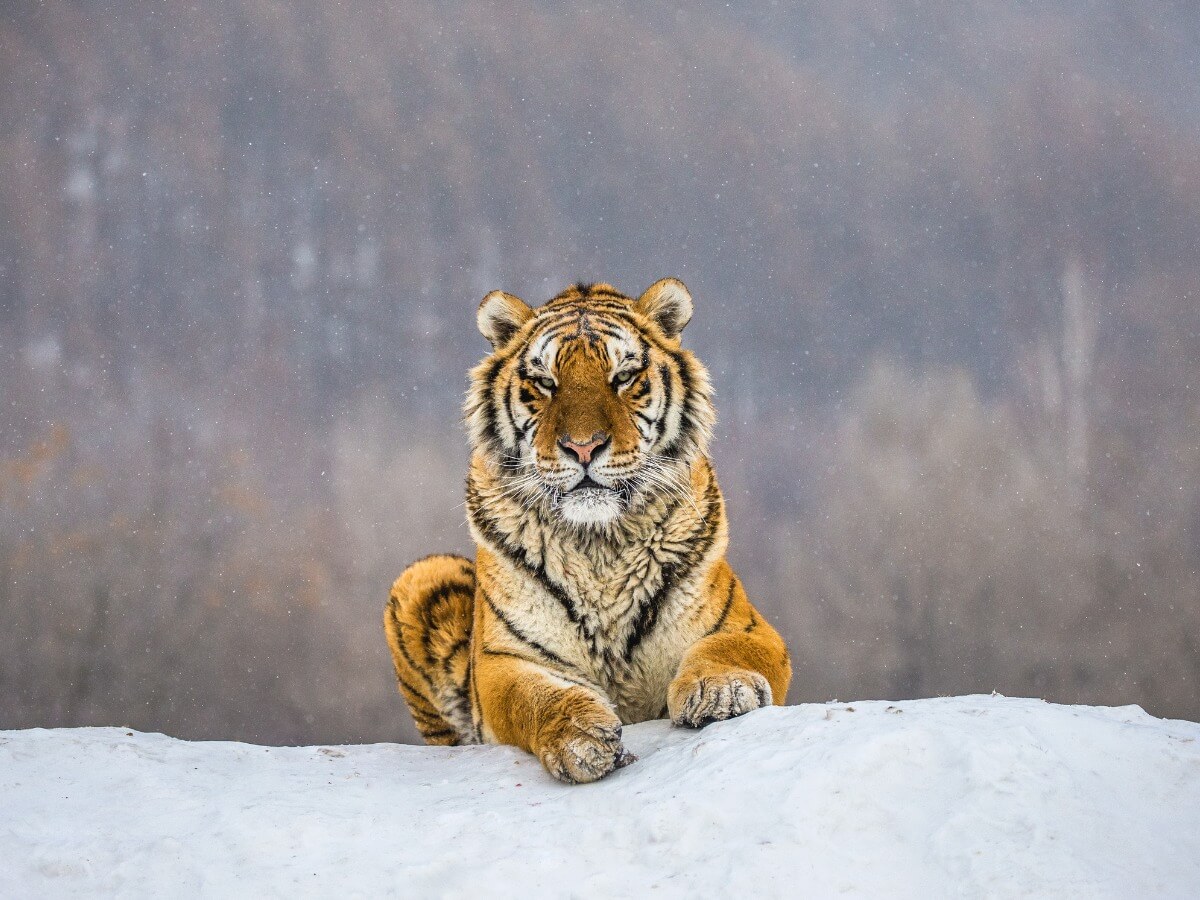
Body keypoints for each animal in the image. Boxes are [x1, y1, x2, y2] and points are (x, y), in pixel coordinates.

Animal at [384, 277, 792, 782]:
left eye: (623, 378)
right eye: (544, 382)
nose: (583, 447)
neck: (599, 545)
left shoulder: (749, 627)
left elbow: (728, 649)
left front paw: (723, 690)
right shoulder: (504, 661)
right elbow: (534, 698)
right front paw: (581, 736)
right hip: (422, 576)